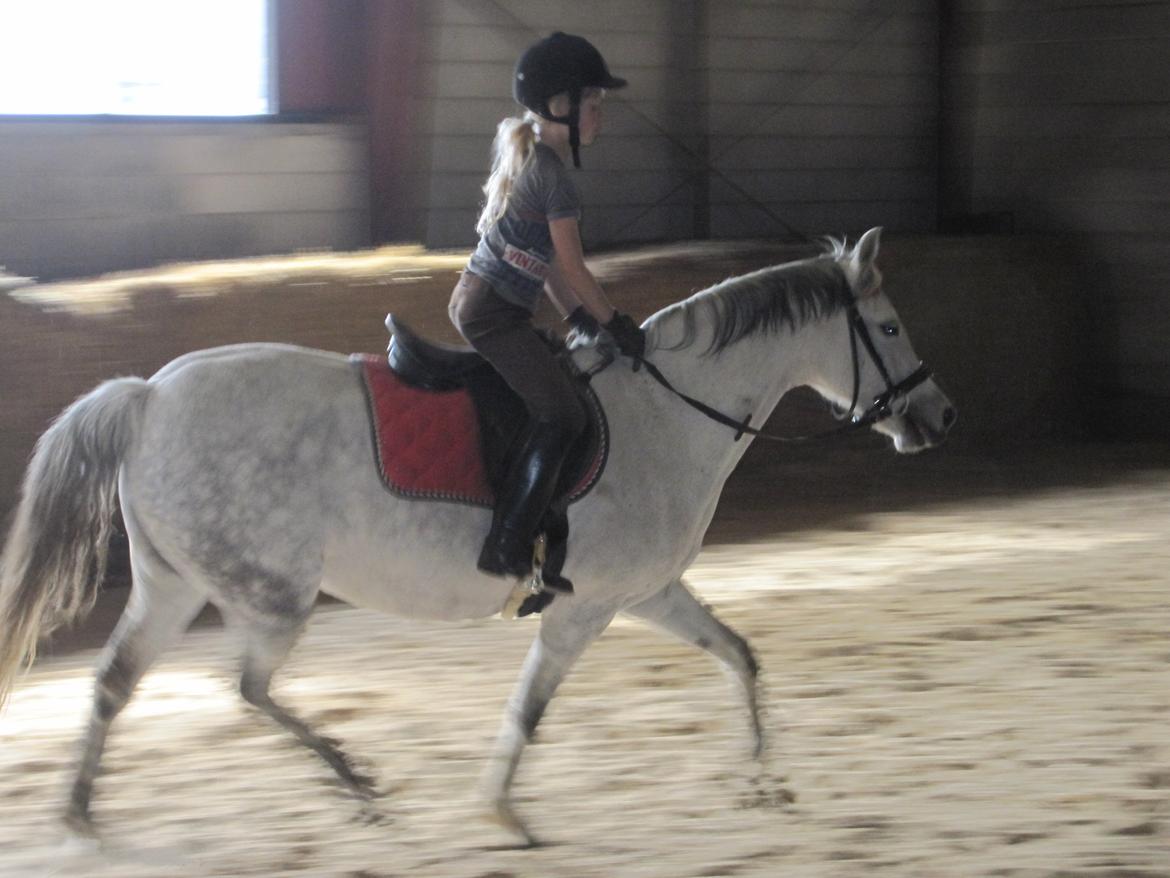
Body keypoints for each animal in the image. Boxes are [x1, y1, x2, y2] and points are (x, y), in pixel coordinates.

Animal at [0, 228, 954, 846]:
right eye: (891, 327)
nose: (939, 417)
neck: (671, 410)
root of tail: (149, 395)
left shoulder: (648, 592)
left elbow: (739, 655)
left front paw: (762, 778)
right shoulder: (584, 609)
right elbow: (528, 708)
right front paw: (501, 811)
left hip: (176, 583)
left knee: (117, 683)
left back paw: (81, 813)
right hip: (268, 596)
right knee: (246, 687)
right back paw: (355, 781)